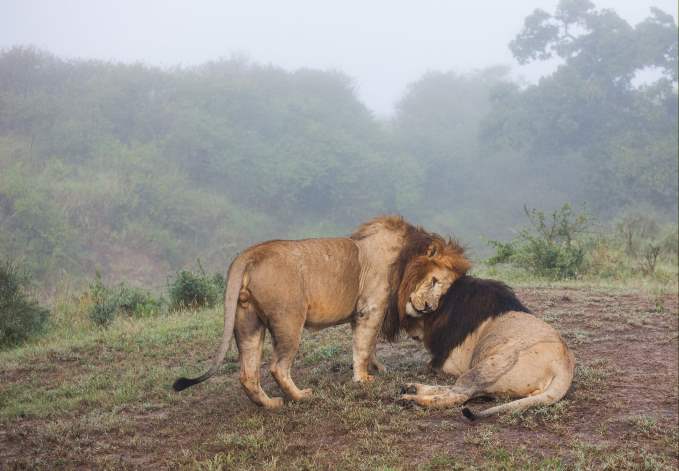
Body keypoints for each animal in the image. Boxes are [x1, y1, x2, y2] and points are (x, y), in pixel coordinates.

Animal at [175, 216, 472, 408]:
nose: (429, 307)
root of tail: (249, 254)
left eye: (442, 292)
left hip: (248, 322)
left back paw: (270, 404)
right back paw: (301, 397)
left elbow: (370, 345)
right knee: (277, 367)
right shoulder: (370, 309)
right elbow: (363, 346)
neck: (404, 261)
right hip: (289, 320)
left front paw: (379, 367)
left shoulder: (366, 313)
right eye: (433, 281)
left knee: (247, 374)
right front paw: (363, 379)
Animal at [398, 276, 572, 420]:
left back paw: (411, 400)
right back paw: (411, 388)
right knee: (459, 389)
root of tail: (564, 367)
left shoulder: (452, 362)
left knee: (459, 394)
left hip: (489, 366)